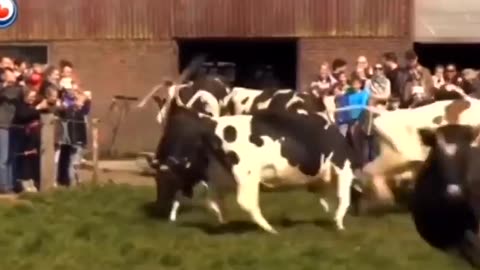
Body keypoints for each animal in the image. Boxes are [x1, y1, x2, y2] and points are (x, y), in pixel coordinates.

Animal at [156, 87, 362, 234]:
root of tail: (214, 124)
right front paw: (339, 223)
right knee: (245, 201)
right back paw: (270, 229)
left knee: (213, 200)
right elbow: (343, 198)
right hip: (247, 174)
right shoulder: (343, 167)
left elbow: (325, 199)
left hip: (221, 174)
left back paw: (225, 221)